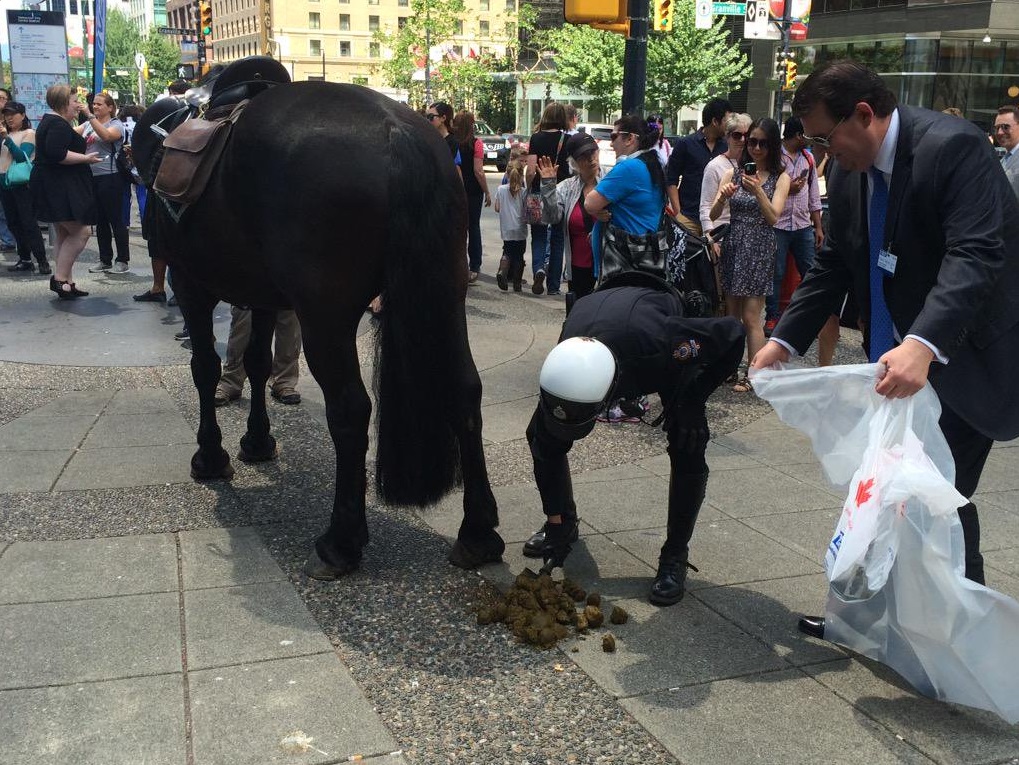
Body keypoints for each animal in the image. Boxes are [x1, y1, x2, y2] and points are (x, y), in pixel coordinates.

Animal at [131, 77, 505, 578]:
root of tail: (397, 130)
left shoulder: (191, 283)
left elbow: (205, 368)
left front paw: (210, 455)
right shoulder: (263, 295)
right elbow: (257, 362)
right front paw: (257, 439)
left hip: (325, 316)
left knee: (350, 409)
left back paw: (341, 540)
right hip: (446, 293)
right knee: (465, 391)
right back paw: (478, 531)